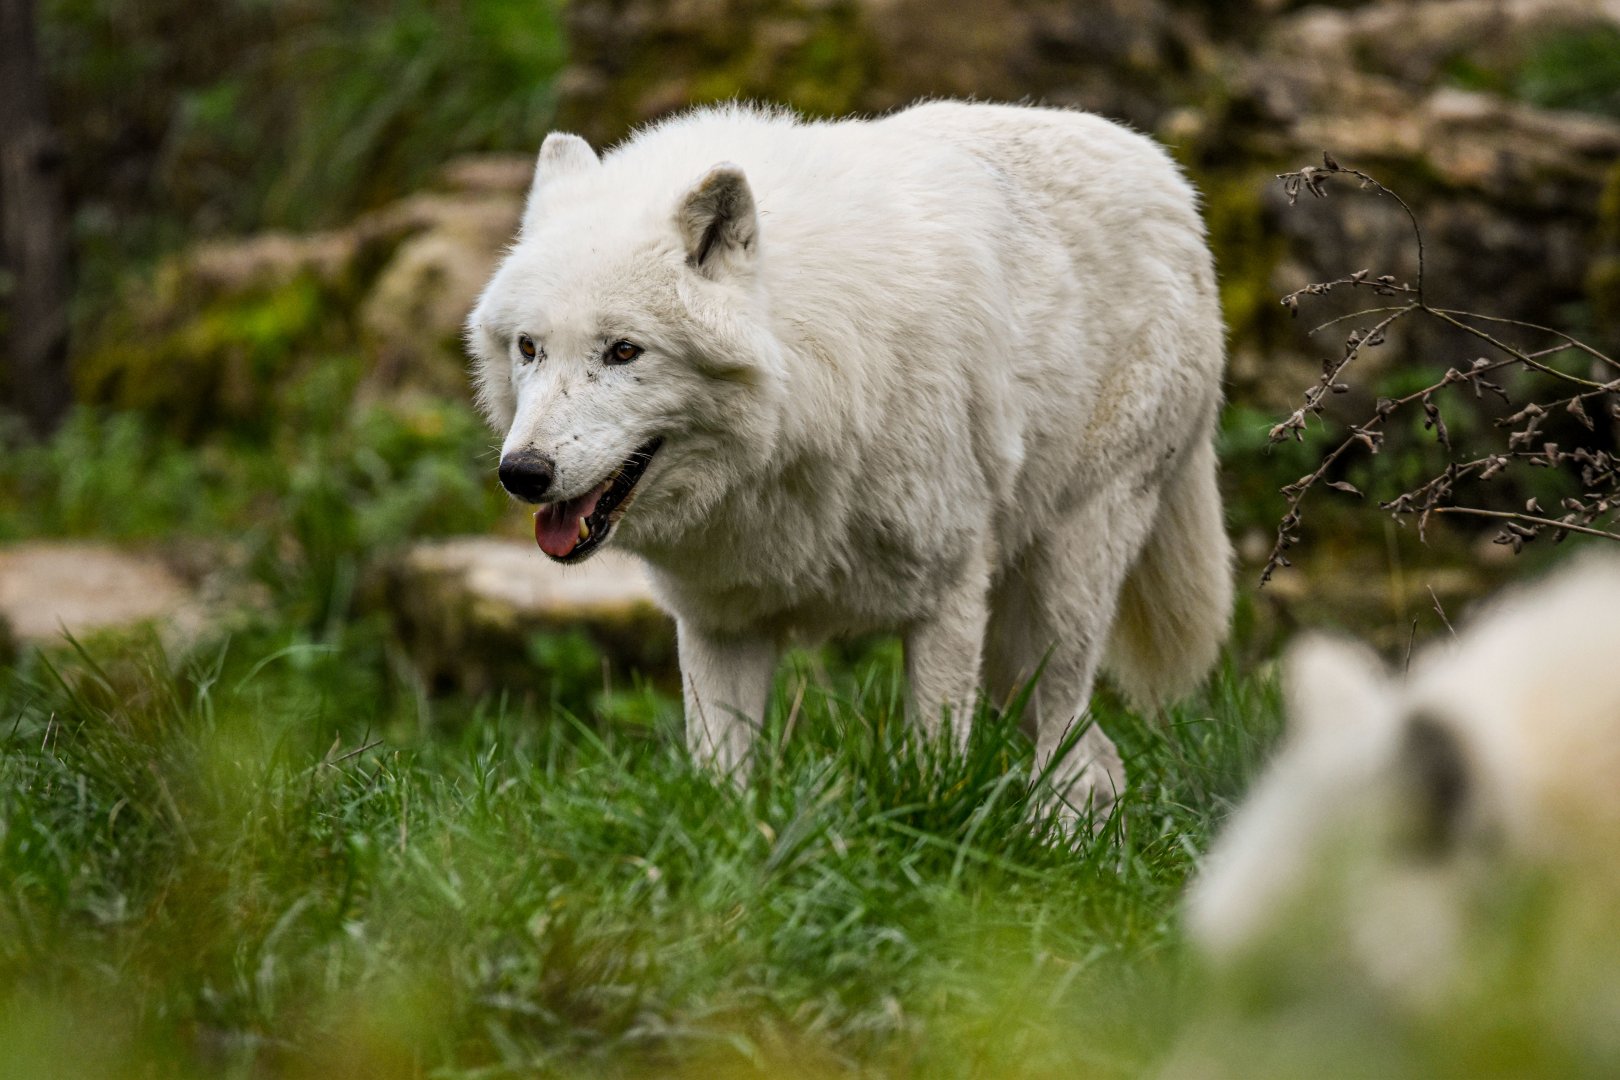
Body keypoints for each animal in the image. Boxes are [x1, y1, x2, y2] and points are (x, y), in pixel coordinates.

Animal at [466, 101, 1231, 815]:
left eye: (624, 350)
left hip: (1065, 588)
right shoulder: (719, 620)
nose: (523, 473)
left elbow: (933, 764)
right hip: (1013, 646)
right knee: (1101, 760)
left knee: (1067, 742)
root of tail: (1167, 173)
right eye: (529, 348)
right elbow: (721, 780)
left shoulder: (949, 596)